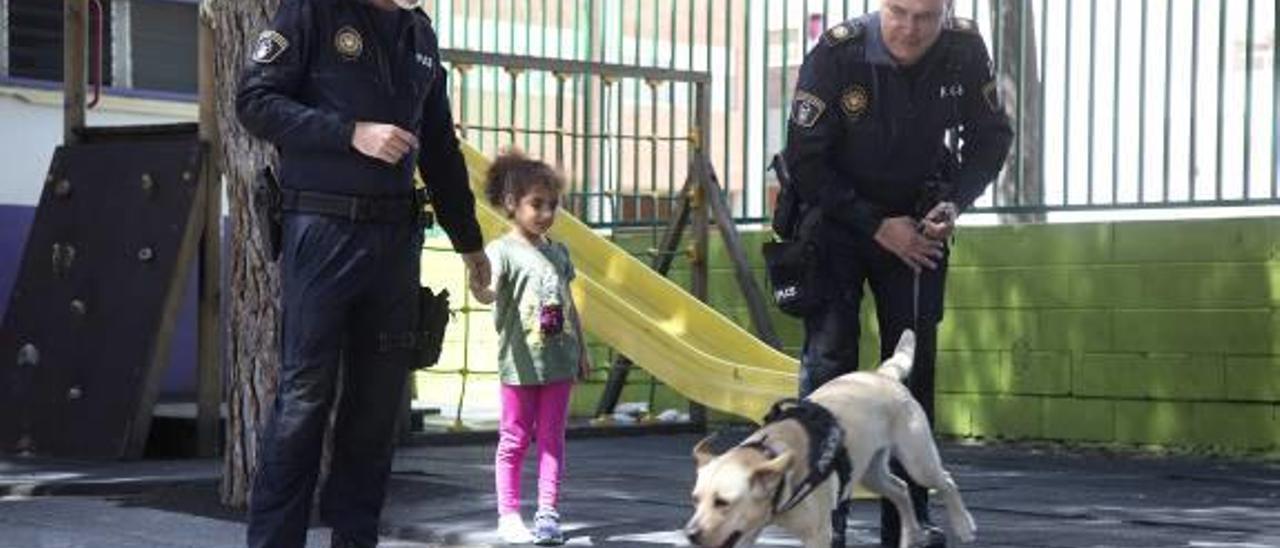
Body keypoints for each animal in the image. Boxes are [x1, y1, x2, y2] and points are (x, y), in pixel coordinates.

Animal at [686, 330, 972, 548]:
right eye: (695, 500)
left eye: (723, 502)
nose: (690, 534)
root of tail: (883, 374)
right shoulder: (742, 534)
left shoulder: (818, 534)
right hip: (870, 473)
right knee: (900, 489)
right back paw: (911, 535)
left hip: (918, 462)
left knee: (945, 481)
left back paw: (963, 525)